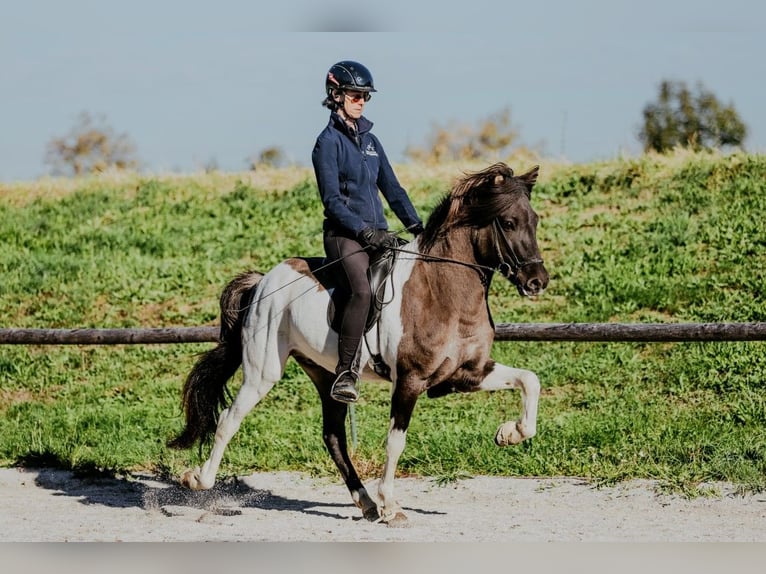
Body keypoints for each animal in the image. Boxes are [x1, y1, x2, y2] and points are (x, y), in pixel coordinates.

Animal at [168, 162, 549, 526]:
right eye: (509, 223)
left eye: (534, 220)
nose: (537, 281)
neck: (444, 292)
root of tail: (264, 280)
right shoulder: (409, 381)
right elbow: (396, 441)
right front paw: (392, 506)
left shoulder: (466, 373)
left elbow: (530, 380)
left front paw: (510, 433)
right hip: (263, 371)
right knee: (229, 420)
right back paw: (197, 479)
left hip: (325, 375)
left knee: (333, 436)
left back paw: (365, 503)